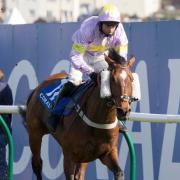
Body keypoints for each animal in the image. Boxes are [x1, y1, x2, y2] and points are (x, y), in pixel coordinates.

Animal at [21, 50, 135, 180]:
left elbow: (119, 172)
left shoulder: (108, 153)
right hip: (35, 133)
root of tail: (39, 87)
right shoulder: (69, 155)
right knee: (37, 164)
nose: (123, 110)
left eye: (131, 79)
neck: (99, 120)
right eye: (112, 79)